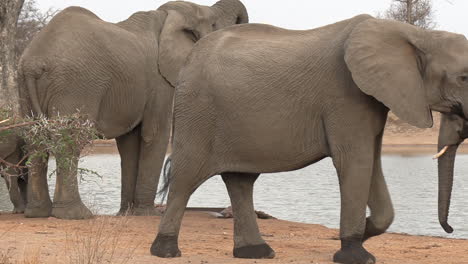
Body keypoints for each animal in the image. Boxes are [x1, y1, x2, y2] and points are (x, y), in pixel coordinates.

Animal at [16, 0, 249, 220]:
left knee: (34, 141)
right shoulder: (159, 82)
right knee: (69, 141)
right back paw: (76, 215)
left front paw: (127, 213)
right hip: (74, 84)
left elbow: (128, 144)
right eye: (214, 24)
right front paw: (148, 214)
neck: (167, 16)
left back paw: (37, 213)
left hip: (26, 87)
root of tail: (34, 62)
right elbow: (155, 135)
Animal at [152, 13, 468, 264]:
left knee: (240, 181)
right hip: (197, 111)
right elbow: (355, 161)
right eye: (464, 78)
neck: (414, 34)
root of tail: (189, 59)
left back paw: (256, 252)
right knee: (186, 177)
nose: (451, 229)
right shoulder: (345, 96)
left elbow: (372, 162)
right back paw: (165, 251)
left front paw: (365, 232)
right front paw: (355, 254)